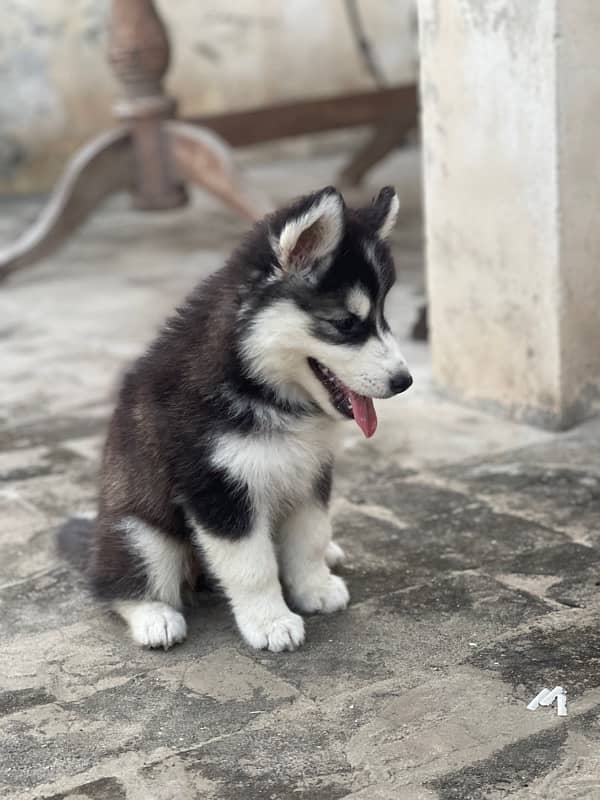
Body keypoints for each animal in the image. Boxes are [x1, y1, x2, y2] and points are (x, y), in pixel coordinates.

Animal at [83, 186, 412, 648]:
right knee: (116, 584)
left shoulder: (310, 472)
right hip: (139, 533)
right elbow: (252, 567)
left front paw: (314, 586)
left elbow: (310, 537)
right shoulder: (218, 489)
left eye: (383, 316)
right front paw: (271, 622)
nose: (405, 381)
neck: (260, 385)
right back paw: (154, 617)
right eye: (346, 323)